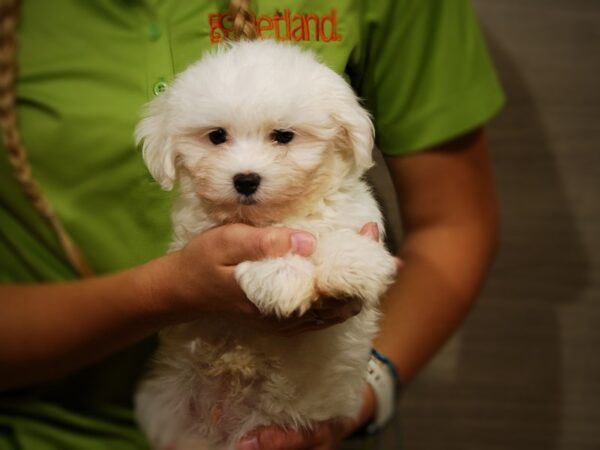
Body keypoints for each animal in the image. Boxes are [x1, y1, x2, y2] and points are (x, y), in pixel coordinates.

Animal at [136, 39, 398, 450]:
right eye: (216, 136)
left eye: (284, 136)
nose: (245, 179)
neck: (280, 217)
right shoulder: (201, 237)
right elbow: (263, 249)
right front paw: (282, 277)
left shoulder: (350, 211)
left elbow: (343, 231)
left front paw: (351, 264)